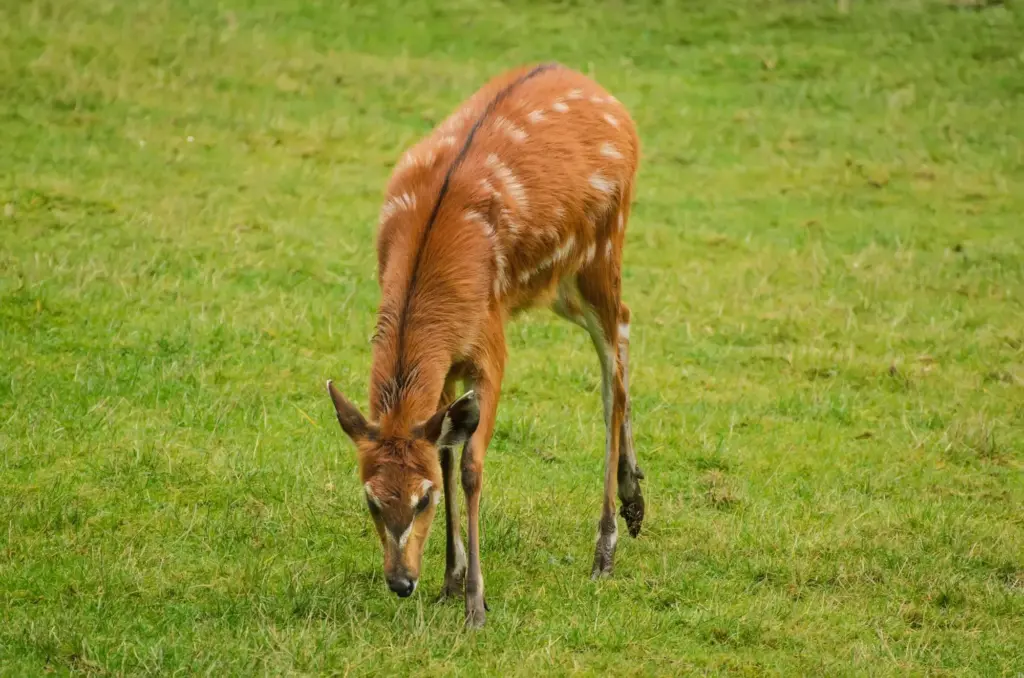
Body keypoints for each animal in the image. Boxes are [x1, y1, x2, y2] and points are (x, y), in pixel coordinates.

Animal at [326, 62, 645, 628]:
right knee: (626, 325)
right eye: (371, 500)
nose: (401, 582)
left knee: (611, 366)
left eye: (422, 500)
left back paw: (605, 549)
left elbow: (471, 467)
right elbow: (446, 452)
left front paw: (475, 602)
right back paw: (635, 502)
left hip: (606, 243)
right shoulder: (447, 365)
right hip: (559, 282)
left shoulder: (489, 343)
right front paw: (449, 583)